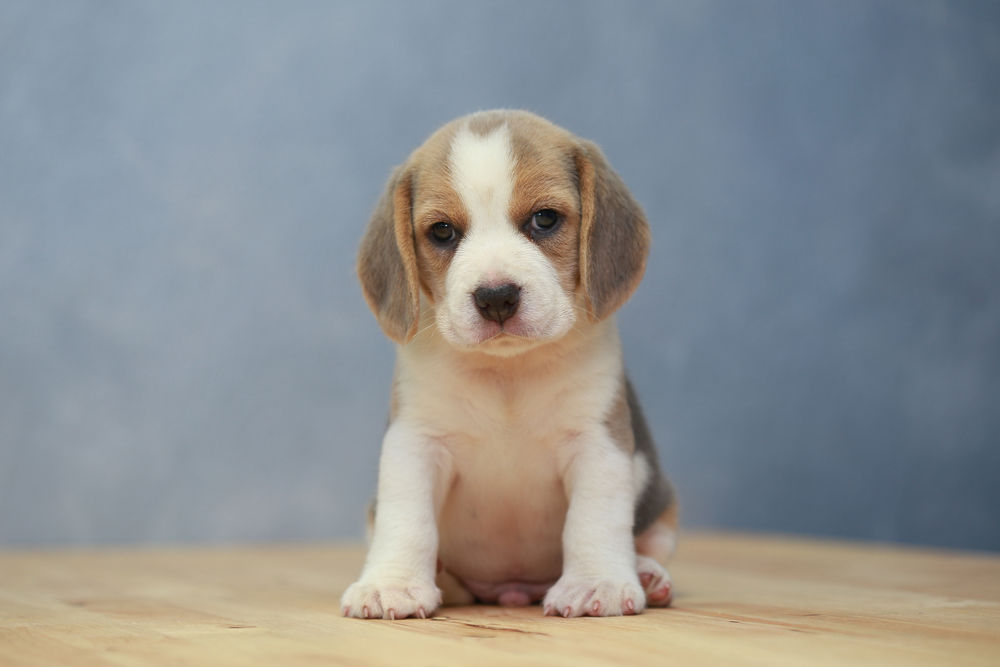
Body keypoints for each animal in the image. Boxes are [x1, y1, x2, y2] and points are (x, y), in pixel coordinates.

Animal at [340, 111, 676, 620]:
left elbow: (593, 518)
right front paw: (391, 584)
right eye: (442, 232)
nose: (496, 296)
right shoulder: (414, 442)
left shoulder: (598, 442)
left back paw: (648, 574)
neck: (507, 373)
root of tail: (510, 590)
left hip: (663, 507)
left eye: (545, 219)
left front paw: (595, 582)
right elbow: (406, 519)